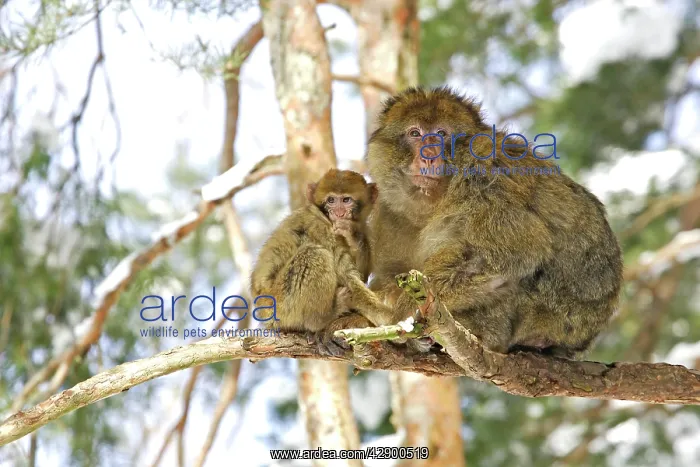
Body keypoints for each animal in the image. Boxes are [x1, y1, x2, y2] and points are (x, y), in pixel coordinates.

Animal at [250, 169, 392, 356]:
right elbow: (350, 279)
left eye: (346, 200)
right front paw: (391, 317)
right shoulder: (322, 228)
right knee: (314, 254)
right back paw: (322, 318)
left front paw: (353, 236)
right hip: (278, 304)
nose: (339, 213)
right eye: (331, 200)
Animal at [363, 86, 624, 359]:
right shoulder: (388, 212)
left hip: (553, 312)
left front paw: (404, 311)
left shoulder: (482, 179)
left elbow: (520, 249)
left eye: (441, 134)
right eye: (415, 133)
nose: (429, 155)